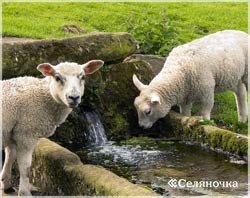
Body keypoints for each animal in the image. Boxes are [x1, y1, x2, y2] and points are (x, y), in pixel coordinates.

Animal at [0, 59, 103, 196]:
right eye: (57, 77)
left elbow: (10, 157)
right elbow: (26, 167)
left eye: (83, 77)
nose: (74, 97)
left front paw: (6, 185)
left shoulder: (14, 132)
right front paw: (24, 193)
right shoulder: (26, 133)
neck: (45, 97)